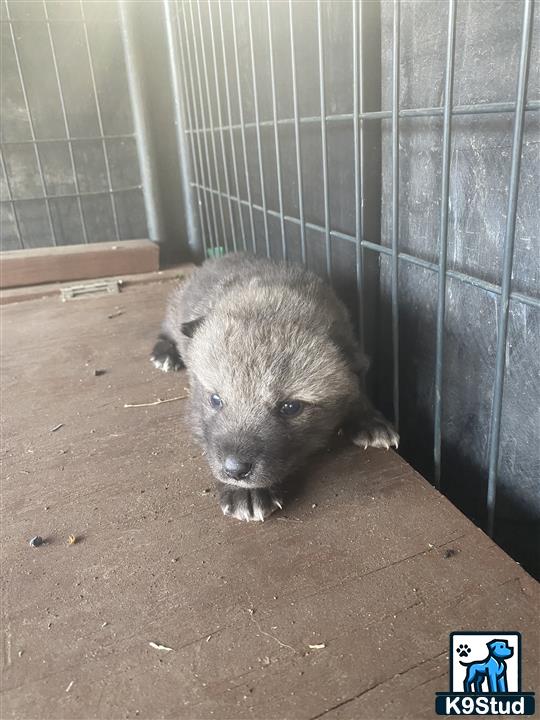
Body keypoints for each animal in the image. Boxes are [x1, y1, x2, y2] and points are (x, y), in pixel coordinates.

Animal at [151, 250, 396, 520]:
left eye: (290, 407)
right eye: (215, 400)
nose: (235, 470)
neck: (269, 298)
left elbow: (355, 388)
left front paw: (369, 420)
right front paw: (245, 492)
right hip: (175, 312)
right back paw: (165, 352)